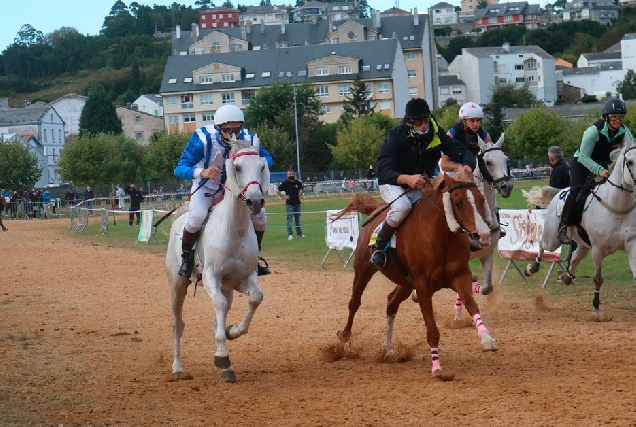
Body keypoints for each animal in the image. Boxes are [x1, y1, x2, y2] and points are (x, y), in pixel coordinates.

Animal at [165, 138, 270, 384]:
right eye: (238, 167)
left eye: (262, 166)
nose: (255, 201)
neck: (234, 230)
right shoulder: (211, 277)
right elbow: (219, 306)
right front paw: (222, 355)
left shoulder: (243, 278)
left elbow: (256, 298)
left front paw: (232, 332)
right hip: (177, 287)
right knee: (178, 324)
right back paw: (177, 368)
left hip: (227, 288)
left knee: (216, 319)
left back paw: (227, 367)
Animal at [336, 171, 500, 374]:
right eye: (458, 202)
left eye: (480, 199)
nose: (483, 234)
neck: (439, 238)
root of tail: (377, 208)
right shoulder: (423, 288)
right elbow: (432, 329)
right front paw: (436, 366)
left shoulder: (460, 277)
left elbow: (472, 305)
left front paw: (487, 339)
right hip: (363, 269)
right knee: (354, 303)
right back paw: (344, 338)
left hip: (405, 283)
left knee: (391, 303)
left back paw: (388, 348)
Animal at [524, 134, 636, 318]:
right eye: (631, 161)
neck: (617, 207)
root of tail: (560, 191)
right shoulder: (598, 249)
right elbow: (598, 279)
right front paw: (596, 307)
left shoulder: (631, 244)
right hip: (553, 239)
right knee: (542, 244)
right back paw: (532, 268)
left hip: (583, 243)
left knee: (576, 256)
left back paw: (566, 276)